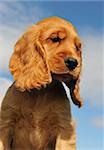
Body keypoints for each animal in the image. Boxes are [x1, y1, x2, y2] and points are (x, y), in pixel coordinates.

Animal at [0, 16, 83, 150]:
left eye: (77, 47)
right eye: (55, 39)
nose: (73, 62)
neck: (40, 92)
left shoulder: (64, 127)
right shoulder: (6, 123)